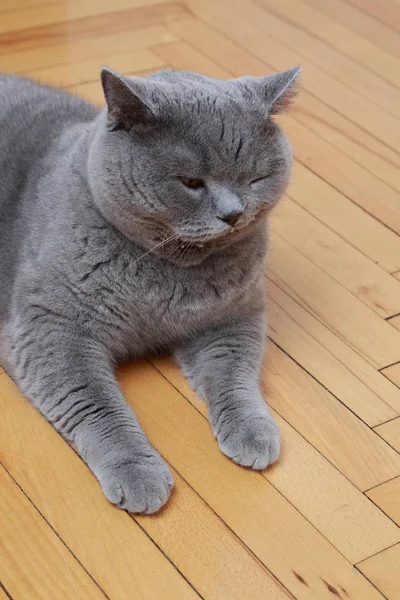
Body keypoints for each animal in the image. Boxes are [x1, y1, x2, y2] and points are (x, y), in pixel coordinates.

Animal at [0, 67, 300, 516]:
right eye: (191, 181)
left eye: (256, 178)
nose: (233, 214)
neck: (167, 270)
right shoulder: (52, 328)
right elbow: (97, 405)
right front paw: (137, 472)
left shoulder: (234, 315)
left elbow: (235, 373)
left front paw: (252, 430)